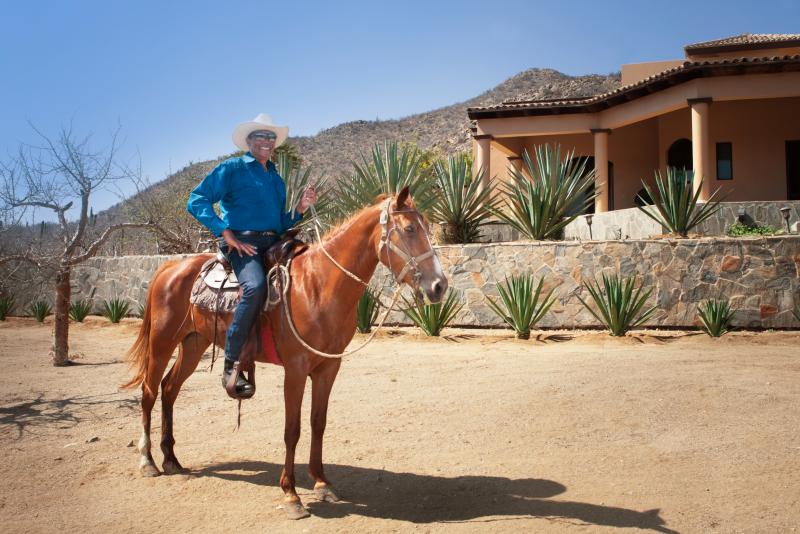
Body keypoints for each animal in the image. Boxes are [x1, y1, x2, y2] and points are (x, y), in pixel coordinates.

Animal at [126, 187, 450, 520]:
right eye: (409, 229)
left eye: (426, 226)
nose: (439, 286)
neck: (319, 284)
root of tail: (169, 267)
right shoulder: (295, 369)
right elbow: (291, 429)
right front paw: (292, 494)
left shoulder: (327, 367)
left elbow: (318, 422)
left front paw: (321, 483)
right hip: (162, 342)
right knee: (150, 391)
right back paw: (148, 461)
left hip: (193, 343)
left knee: (170, 389)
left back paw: (171, 458)